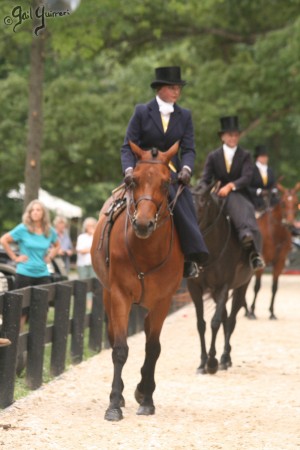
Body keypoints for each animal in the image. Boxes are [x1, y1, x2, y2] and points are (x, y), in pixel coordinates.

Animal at [91, 142, 183, 422]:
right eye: (134, 180)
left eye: (166, 183)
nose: (143, 223)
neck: (146, 250)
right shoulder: (120, 295)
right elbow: (120, 349)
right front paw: (113, 404)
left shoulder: (163, 301)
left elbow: (153, 349)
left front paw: (147, 399)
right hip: (109, 296)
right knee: (113, 337)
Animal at [188, 181, 253, 374]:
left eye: (204, 201)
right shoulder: (194, 288)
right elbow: (201, 324)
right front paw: (202, 362)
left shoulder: (223, 286)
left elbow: (215, 322)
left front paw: (211, 362)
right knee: (225, 317)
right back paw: (227, 358)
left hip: (241, 286)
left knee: (230, 320)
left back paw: (224, 358)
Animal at [245, 181, 298, 318]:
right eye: (283, 203)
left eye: (296, 203)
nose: (290, 224)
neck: (275, 234)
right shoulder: (261, 261)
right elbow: (257, 286)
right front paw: (252, 311)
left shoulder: (280, 262)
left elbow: (274, 287)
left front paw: (272, 312)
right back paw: (247, 310)